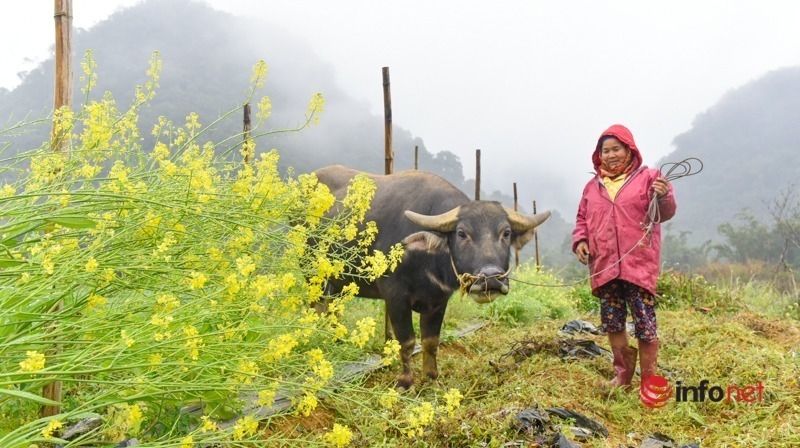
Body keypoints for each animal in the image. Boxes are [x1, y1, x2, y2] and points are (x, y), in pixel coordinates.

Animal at [312, 164, 552, 388]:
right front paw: (406, 381)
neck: (428, 262)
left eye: (506, 233)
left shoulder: (438, 301)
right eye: (462, 234)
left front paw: (431, 377)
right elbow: (407, 341)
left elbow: (430, 341)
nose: (491, 278)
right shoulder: (395, 296)